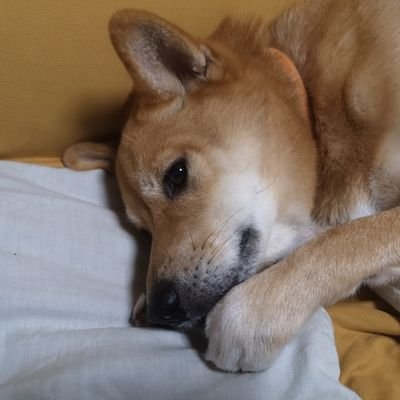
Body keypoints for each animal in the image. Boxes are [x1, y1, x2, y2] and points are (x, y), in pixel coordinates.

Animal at [64, 0, 400, 374]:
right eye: (143, 231)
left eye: (176, 174)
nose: (160, 309)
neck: (314, 112)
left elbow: (347, 238)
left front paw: (255, 313)